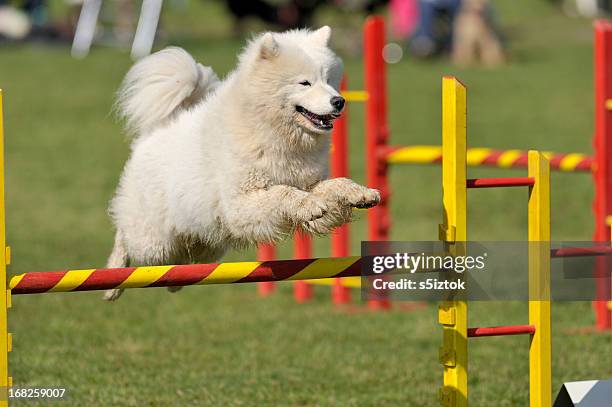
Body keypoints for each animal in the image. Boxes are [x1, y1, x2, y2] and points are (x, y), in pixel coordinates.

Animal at [106, 25, 382, 300]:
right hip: (155, 242)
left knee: (182, 259)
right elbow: (283, 192)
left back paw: (174, 282)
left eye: (330, 80)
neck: (276, 133)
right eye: (305, 83)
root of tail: (153, 133)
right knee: (126, 236)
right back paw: (113, 282)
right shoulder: (242, 204)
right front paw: (309, 204)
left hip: (206, 240)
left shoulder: (307, 182)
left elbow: (334, 185)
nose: (339, 101)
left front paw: (360, 193)